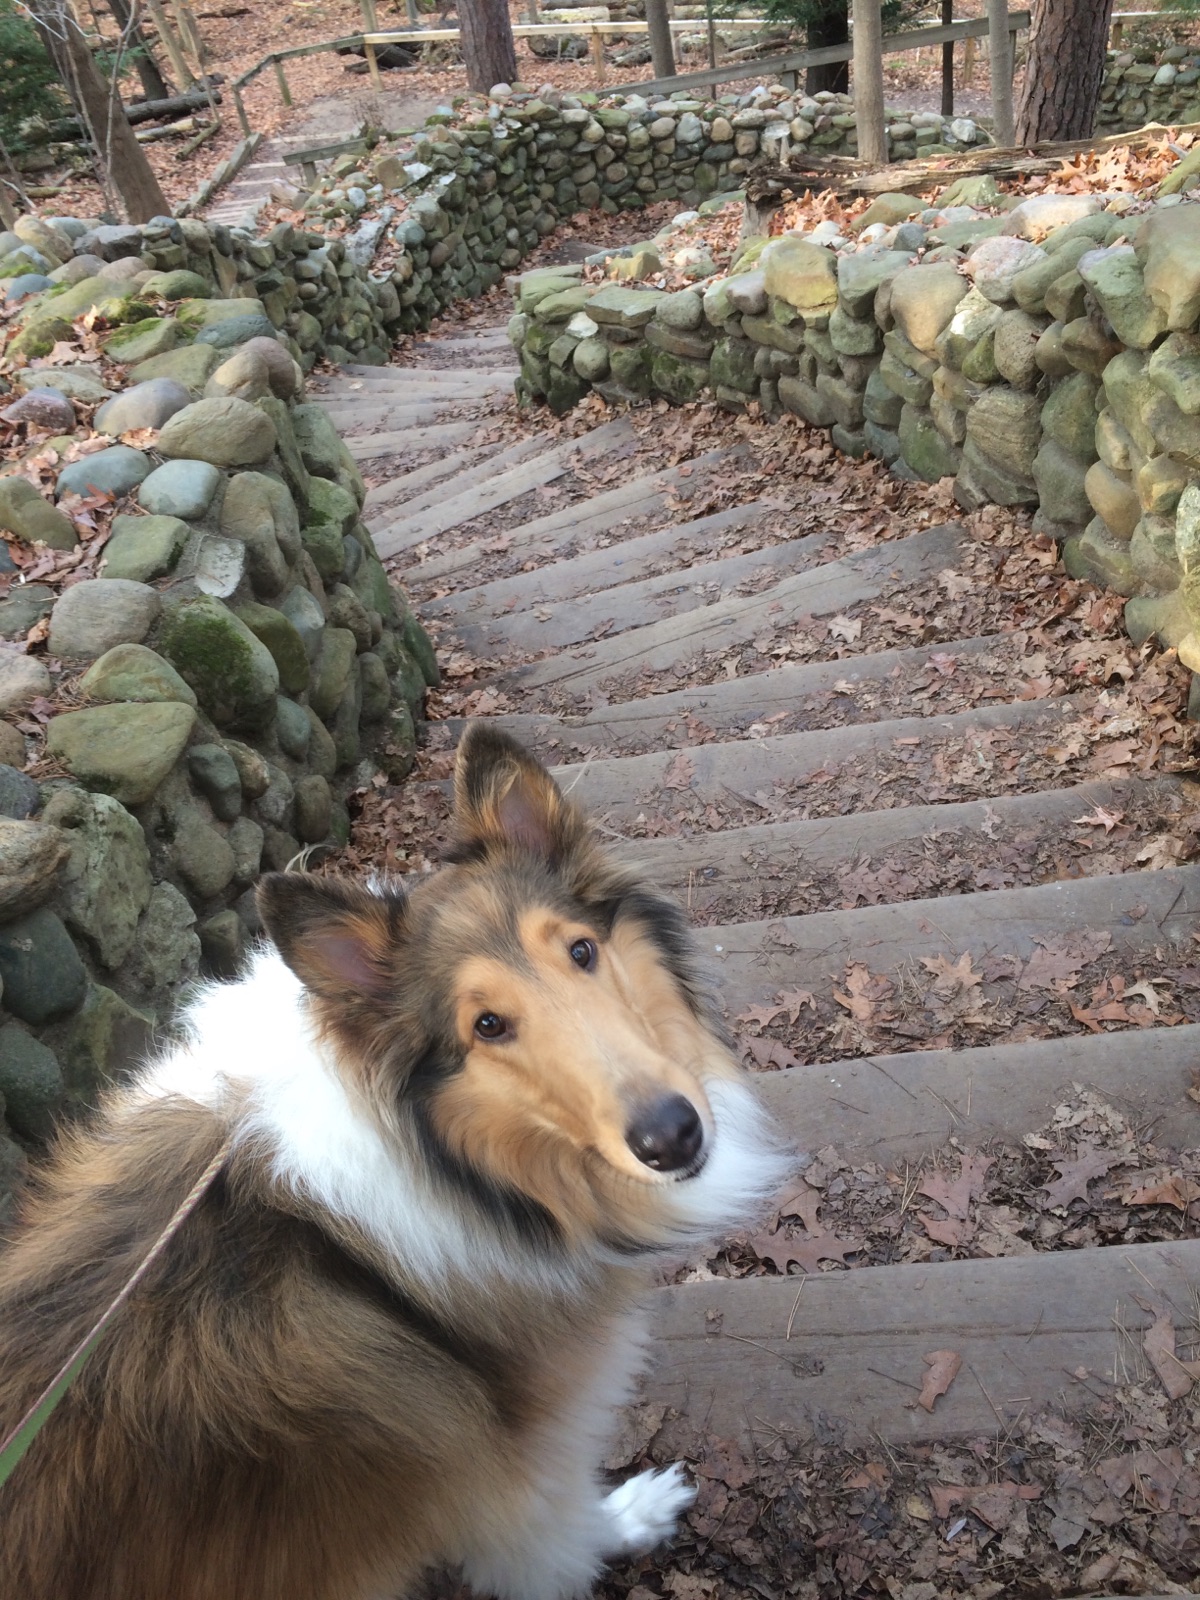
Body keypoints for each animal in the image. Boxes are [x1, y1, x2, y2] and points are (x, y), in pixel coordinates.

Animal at [0, 726, 790, 1600]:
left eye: (582, 951)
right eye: (487, 1025)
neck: (439, 1160)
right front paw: (633, 1517)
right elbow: (558, 1531)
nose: (671, 1136)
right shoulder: (518, 1462)